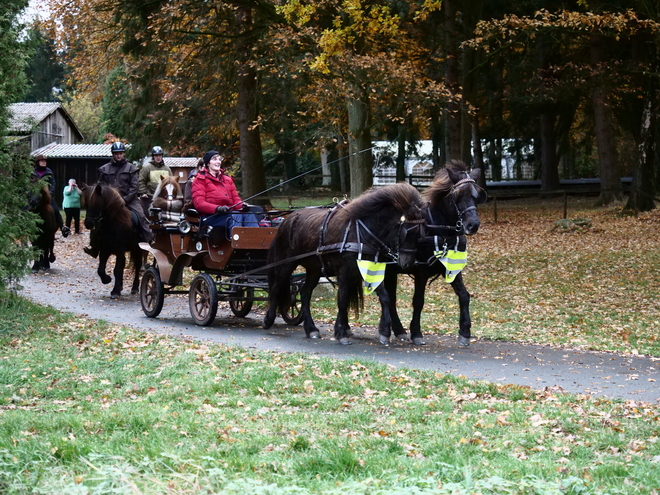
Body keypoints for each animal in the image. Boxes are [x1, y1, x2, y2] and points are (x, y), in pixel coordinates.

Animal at [260, 182, 426, 344]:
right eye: (406, 231)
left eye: (420, 233)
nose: (408, 263)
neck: (361, 233)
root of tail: (287, 220)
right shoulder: (344, 271)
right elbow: (342, 300)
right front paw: (341, 333)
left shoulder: (369, 269)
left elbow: (384, 296)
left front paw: (384, 331)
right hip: (286, 264)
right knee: (276, 287)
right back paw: (268, 320)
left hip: (314, 269)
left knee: (305, 292)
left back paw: (311, 329)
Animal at [384, 161, 488, 346]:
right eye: (457, 196)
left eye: (477, 196)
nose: (473, 225)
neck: (438, 231)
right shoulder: (421, 271)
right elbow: (418, 301)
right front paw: (416, 333)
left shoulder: (453, 267)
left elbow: (464, 295)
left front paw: (465, 331)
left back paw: (398, 330)